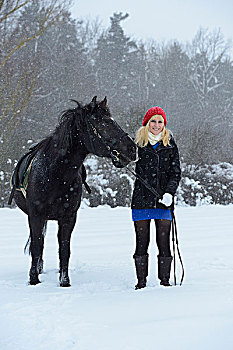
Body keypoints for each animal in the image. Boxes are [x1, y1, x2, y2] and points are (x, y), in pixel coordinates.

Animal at [12, 96, 137, 288]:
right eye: (103, 123)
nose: (132, 149)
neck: (54, 174)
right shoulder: (36, 216)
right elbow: (36, 246)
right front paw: (34, 280)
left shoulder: (68, 218)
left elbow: (64, 249)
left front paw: (65, 282)